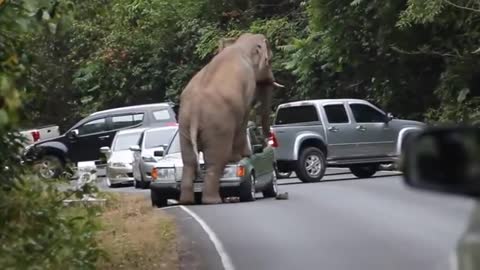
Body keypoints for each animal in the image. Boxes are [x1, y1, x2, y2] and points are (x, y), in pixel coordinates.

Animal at [177, 32, 282, 205]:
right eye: (269, 61)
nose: (269, 139)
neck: (239, 45)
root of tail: (195, 114)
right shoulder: (248, 85)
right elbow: (245, 115)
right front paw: (244, 155)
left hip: (184, 125)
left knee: (189, 162)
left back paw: (187, 201)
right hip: (218, 127)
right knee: (215, 161)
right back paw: (213, 201)